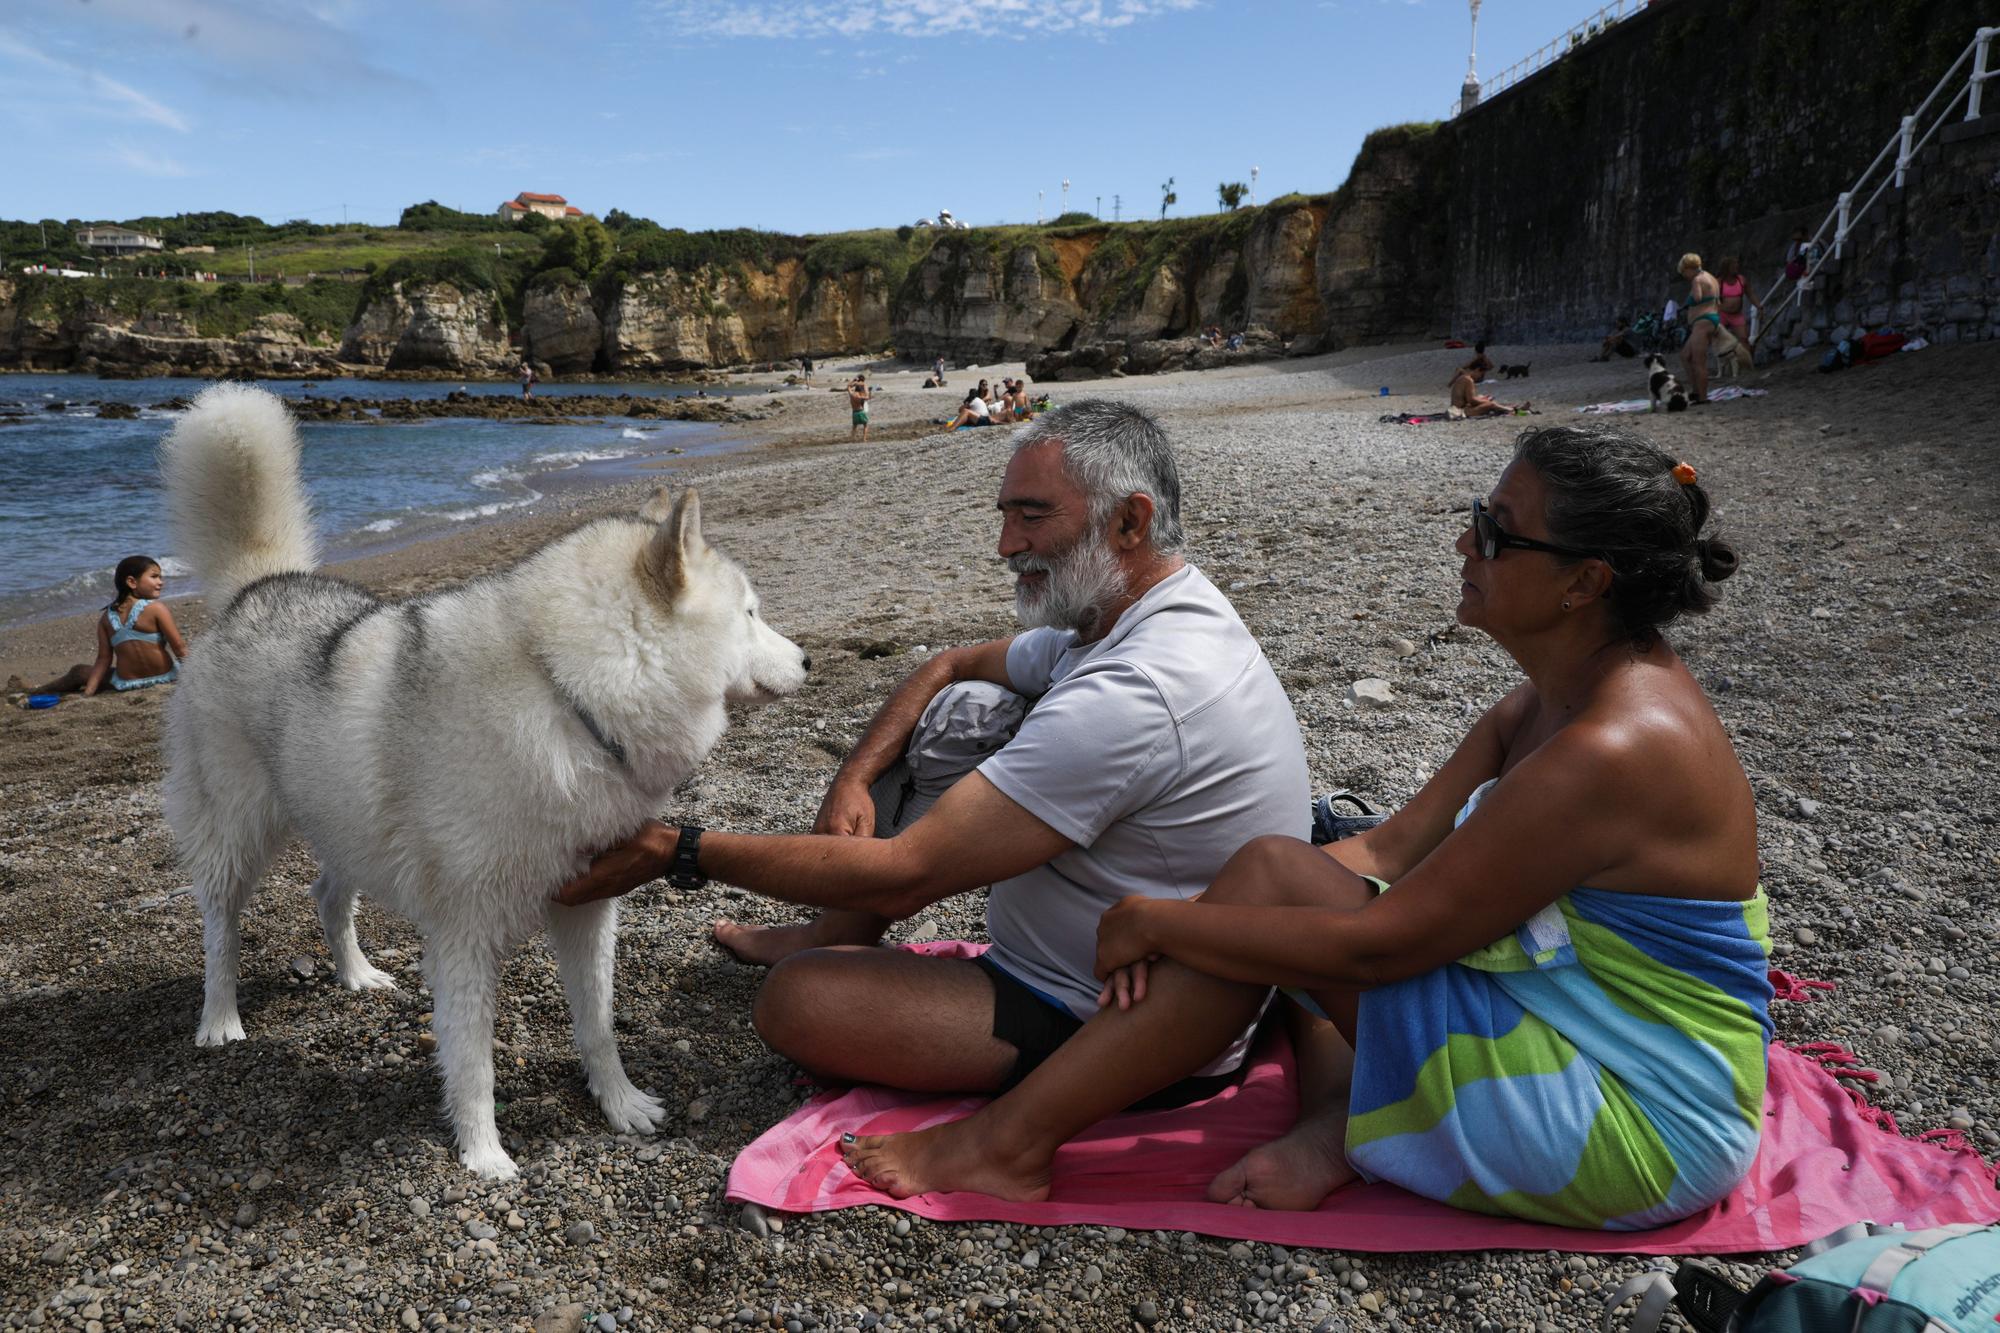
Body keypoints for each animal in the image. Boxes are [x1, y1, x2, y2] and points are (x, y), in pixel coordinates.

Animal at [160, 382, 808, 1176]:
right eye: (750, 613)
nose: (807, 659)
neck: (566, 691)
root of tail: (260, 586)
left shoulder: (587, 906)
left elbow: (597, 1023)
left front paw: (620, 1103)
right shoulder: (464, 934)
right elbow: (472, 1057)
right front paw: (482, 1153)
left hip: (344, 824)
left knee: (327, 894)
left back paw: (355, 974)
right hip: (238, 832)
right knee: (220, 927)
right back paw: (220, 1018)